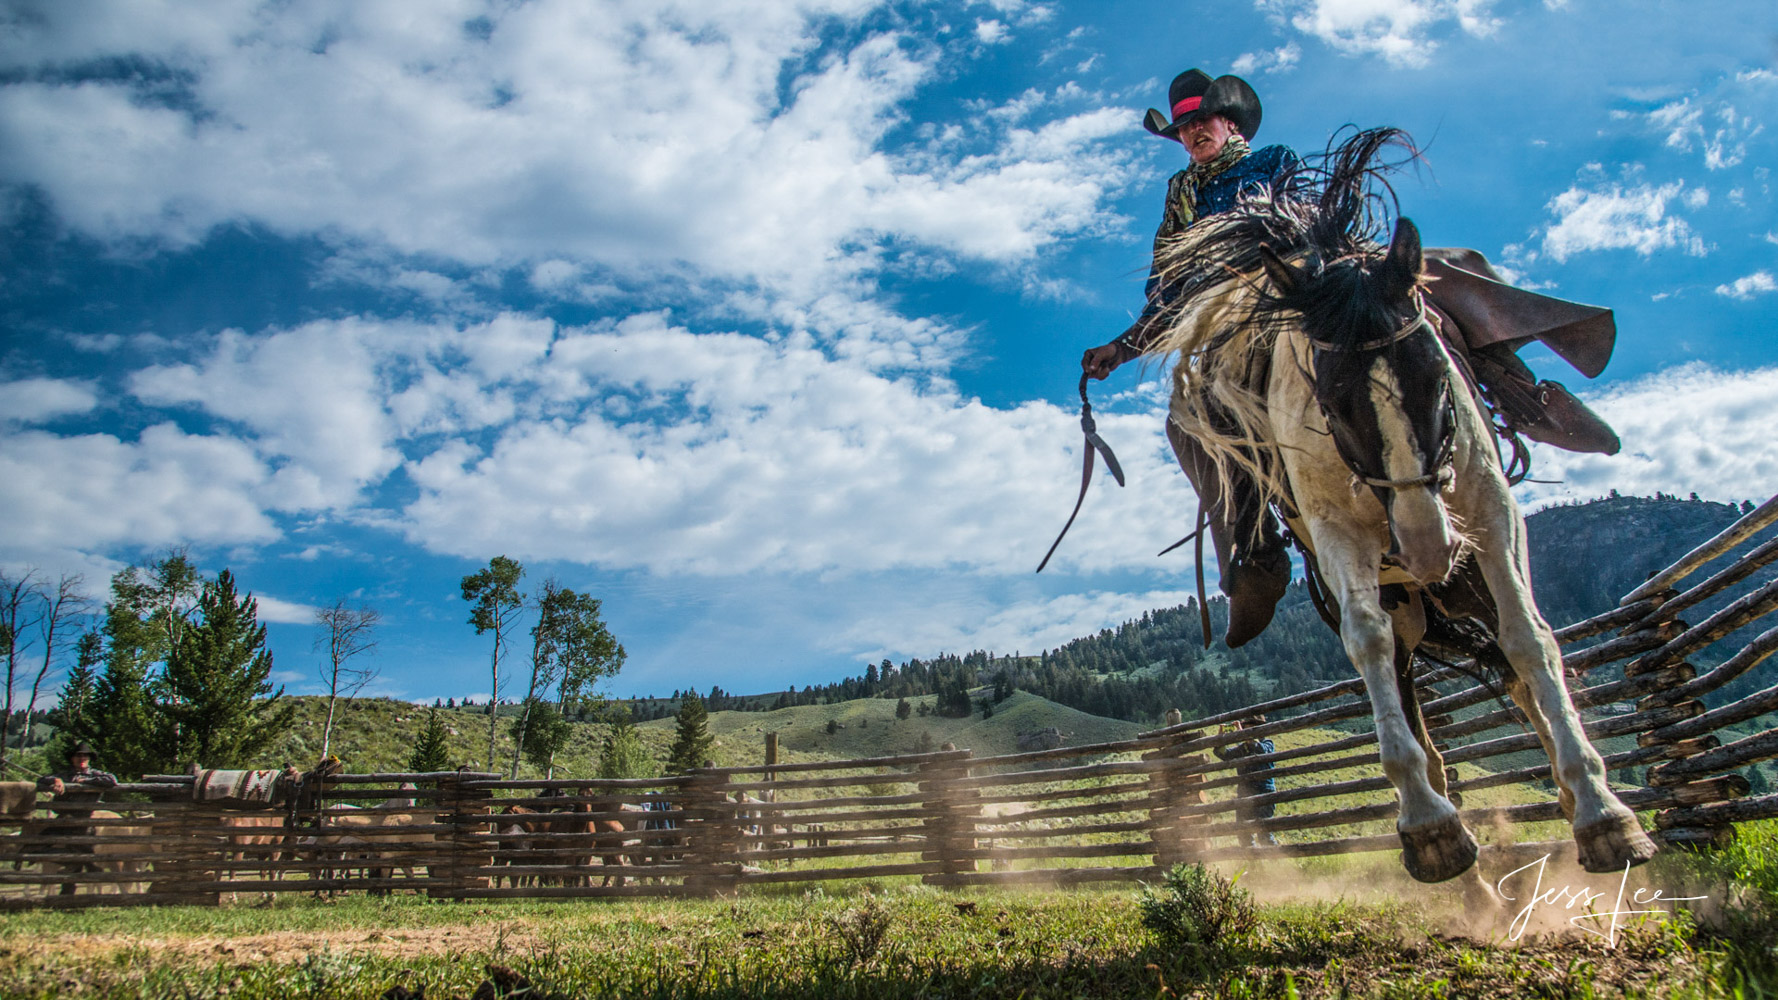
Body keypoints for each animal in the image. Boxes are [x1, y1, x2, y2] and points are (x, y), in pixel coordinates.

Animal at [1152, 126, 1649, 879]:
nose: (1425, 547)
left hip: (1465, 576)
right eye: (1330, 400)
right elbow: (1368, 643)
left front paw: (1603, 811)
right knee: (1418, 704)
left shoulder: (1486, 508)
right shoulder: (1338, 537)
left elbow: (1529, 638)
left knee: (1515, 667)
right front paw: (1427, 825)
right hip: (1403, 601)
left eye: (1440, 375)